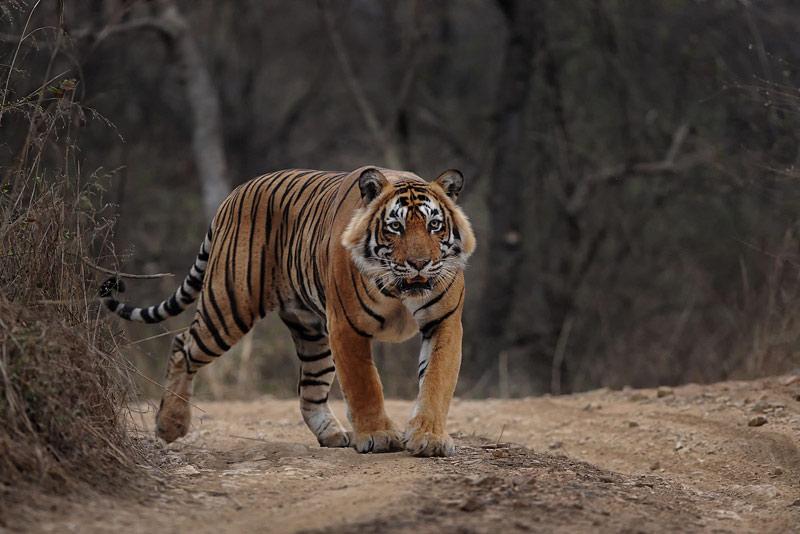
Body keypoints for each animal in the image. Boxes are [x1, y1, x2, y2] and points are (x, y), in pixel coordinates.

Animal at [100, 166, 476, 456]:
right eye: (395, 226)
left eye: (434, 225)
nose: (419, 264)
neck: (400, 290)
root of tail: (234, 193)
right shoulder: (347, 327)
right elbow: (365, 384)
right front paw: (379, 436)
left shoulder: (443, 322)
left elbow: (436, 381)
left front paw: (429, 439)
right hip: (229, 306)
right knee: (183, 345)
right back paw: (170, 425)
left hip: (312, 333)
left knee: (309, 389)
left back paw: (332, 434)